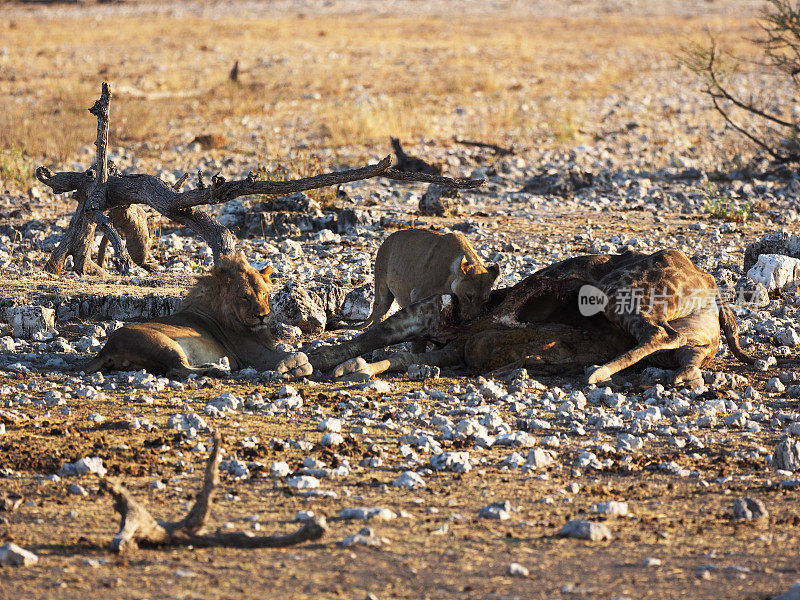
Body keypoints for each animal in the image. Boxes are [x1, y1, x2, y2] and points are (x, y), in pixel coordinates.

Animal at [82, 253, 312, 380]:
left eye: (264, 294)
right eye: (244, 297)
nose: (263, 316)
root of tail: (107, 347)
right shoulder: (254, 356)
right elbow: (295, 355)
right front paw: (296, 362)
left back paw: (216, 366)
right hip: (162, 343)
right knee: (176, 370)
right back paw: (216, 370)